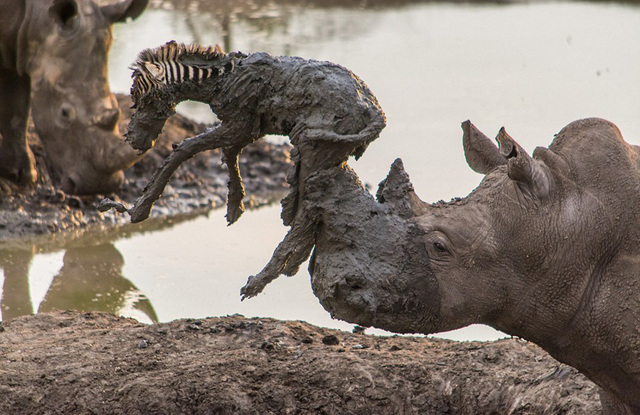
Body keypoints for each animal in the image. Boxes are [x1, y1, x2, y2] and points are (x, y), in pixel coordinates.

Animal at [109, 40, 384, 226]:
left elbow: (184, 150)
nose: (132, 140)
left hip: (320, 148)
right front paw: (235, 206)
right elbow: (229, 156)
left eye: (144, 101)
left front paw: (138, 210)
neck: (221, 80)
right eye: (134, 101)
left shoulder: (239, 125)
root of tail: (374, 109)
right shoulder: (245, 130)